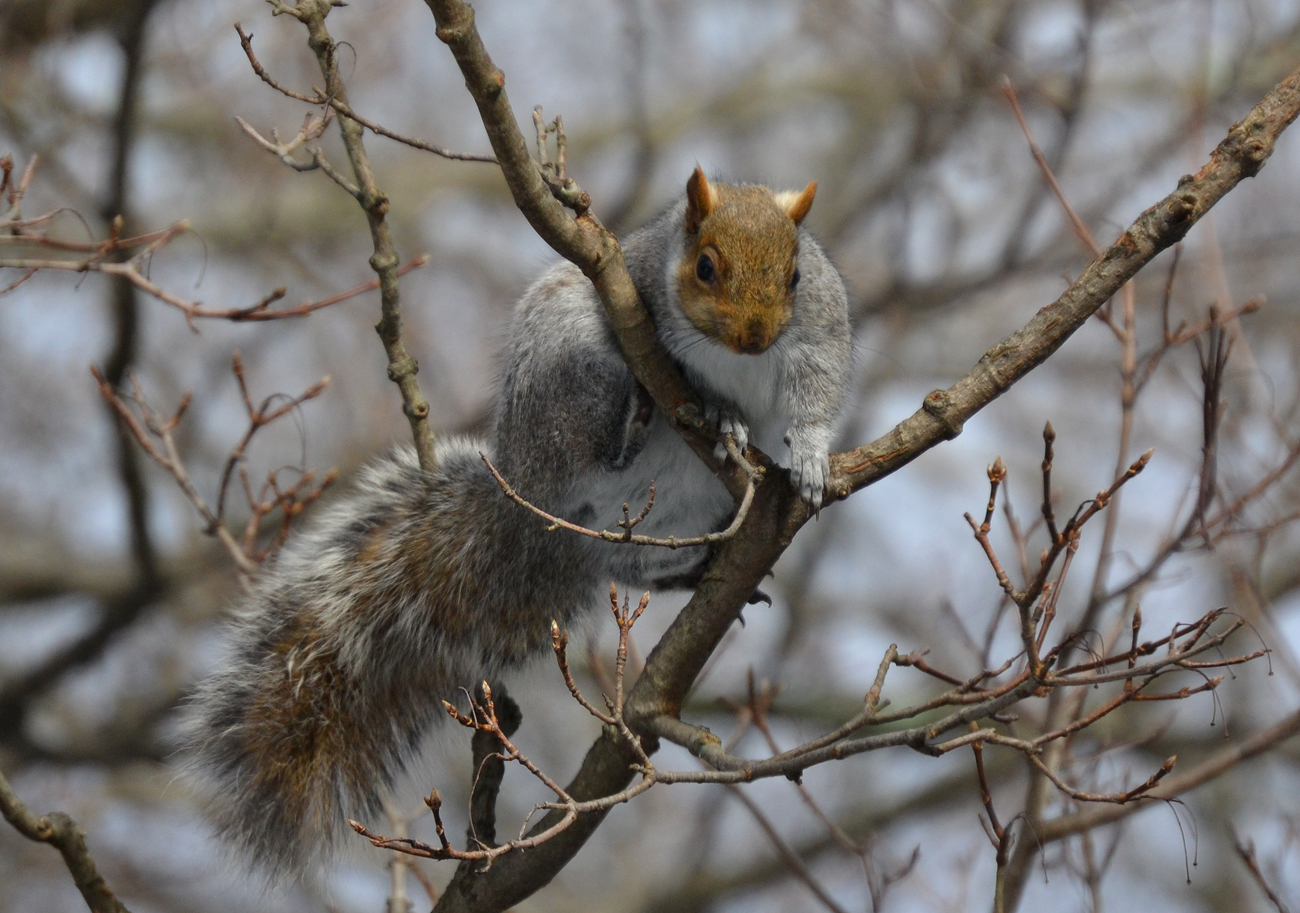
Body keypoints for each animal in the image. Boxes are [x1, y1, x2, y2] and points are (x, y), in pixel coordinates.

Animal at [182, 167, 852, 880]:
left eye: (796, 276)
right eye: (704, 267)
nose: (755, 336)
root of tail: (533, 500)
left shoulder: (819, 335)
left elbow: (818, 393)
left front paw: (811, 457)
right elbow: (705, 390)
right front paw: (723, 414)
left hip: (679, 510)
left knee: (631, 560)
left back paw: (692, 565)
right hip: (564, 357)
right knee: (593, 450)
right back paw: (629, 430)